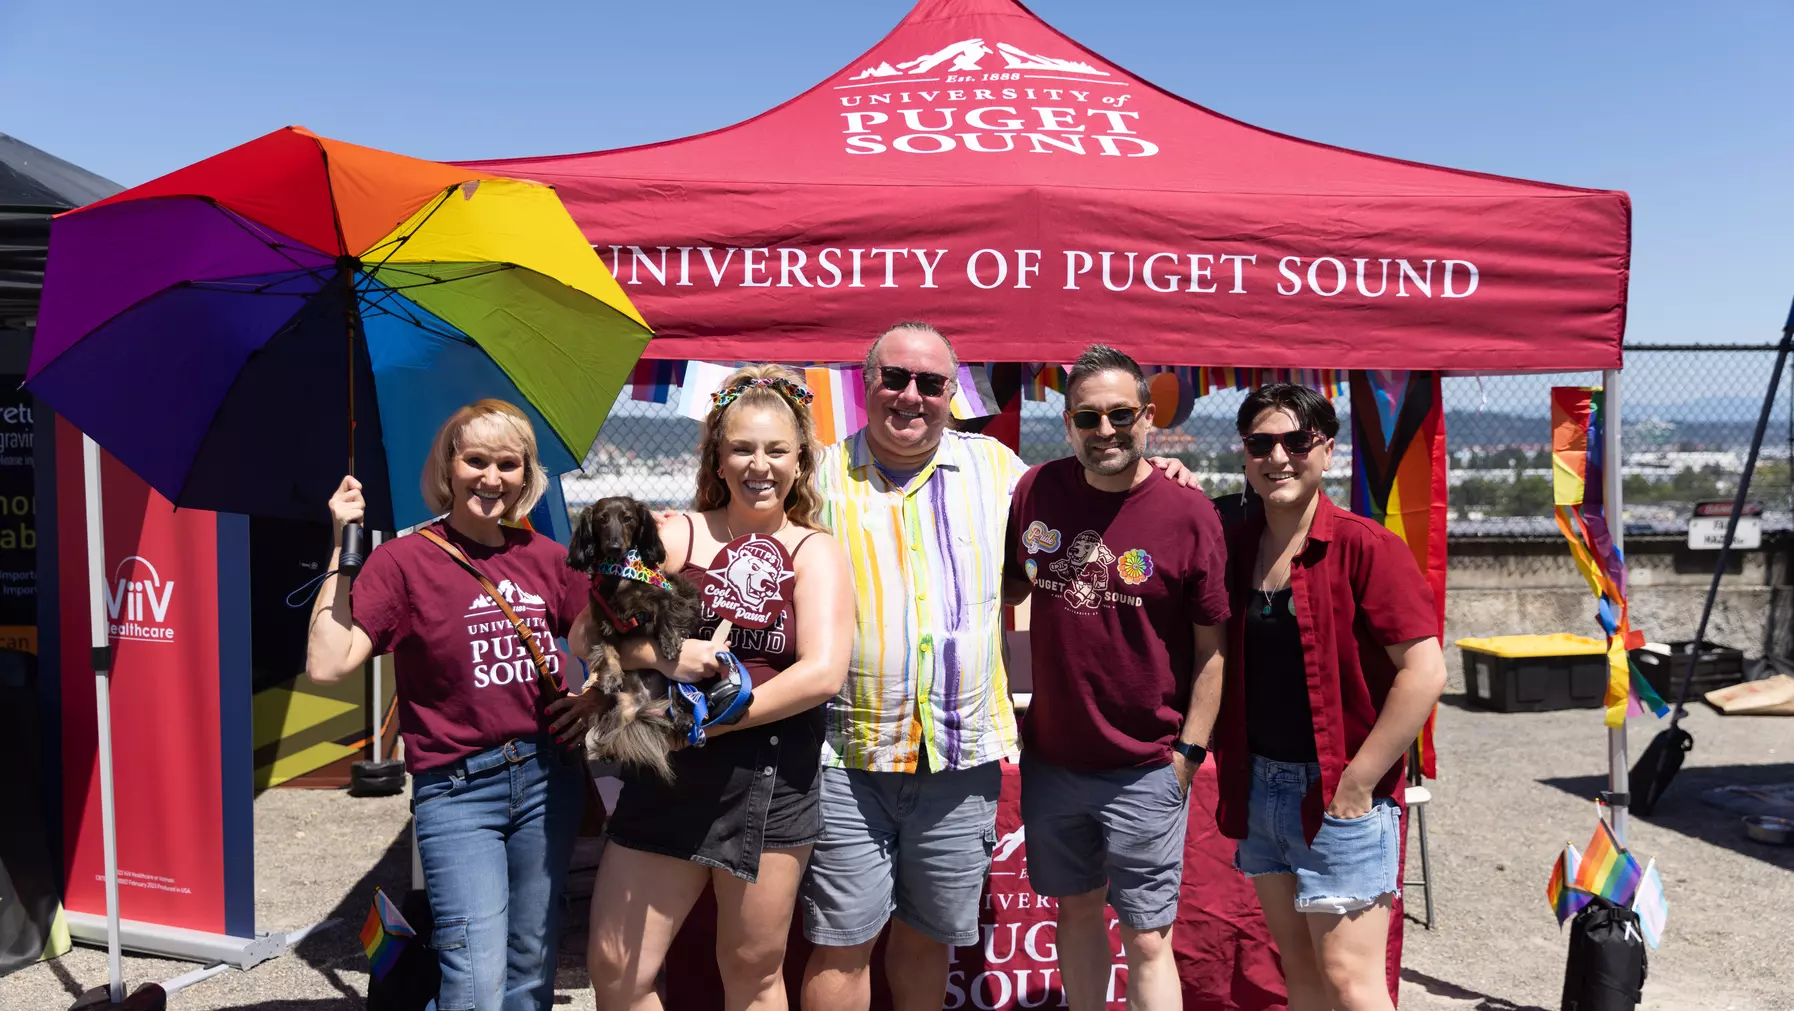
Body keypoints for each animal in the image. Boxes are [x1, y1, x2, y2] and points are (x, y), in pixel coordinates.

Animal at [566, 498, 699, 781]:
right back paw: (608, 750)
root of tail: (642, 707)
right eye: (602, 519)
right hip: (614, 708)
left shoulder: (664, 596)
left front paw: (670, 643)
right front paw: (612, 676)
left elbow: (666, 614)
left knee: (676, 697)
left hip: (674, 683)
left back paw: (683, 718)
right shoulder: (601, 620)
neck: (620, 574)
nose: (615, 546)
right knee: (612, 732)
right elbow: (606, 650)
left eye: (628, 518)